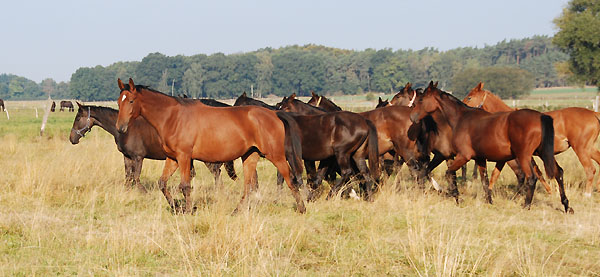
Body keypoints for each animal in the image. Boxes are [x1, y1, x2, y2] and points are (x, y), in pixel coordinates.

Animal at [69, 102, 237, 191]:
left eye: (77, 118)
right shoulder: (127, 157)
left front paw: (142, 192)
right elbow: (128, 176)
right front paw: (127, 191)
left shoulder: (138, 157)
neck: (126, 129)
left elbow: (136, 176)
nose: (72, 139)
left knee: (216, 172)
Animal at [115, 78, 308, 212]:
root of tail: (275, 114)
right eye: (118, 102)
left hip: (276, 156)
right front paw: (176, 207)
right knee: (248, 186)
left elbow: (185, 185)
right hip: (250, 156)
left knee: (290, 179)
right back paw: (236, 211)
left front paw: (188, 210)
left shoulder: (184, 157)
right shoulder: (173, 158)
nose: (120, 127)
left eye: (131, 101)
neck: (173, 117)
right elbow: (162, 183)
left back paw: (302, 208)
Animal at [408, 81, 572, 212]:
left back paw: (526, 205)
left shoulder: (463, 156)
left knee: (531, 177)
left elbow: (449, 174)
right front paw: (489, 201)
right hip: (543, 153)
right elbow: (485, 180)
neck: (461, 119)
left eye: (421, 99)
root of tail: (540, 116)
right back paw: (566, 206)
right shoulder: (480, 159)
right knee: (558, 173)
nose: (412, 117)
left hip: (524, 156)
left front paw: (455, 196)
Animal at [466, 81, 600, 194]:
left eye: (469, 97)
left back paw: (587, 194)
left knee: (590, 169)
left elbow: (536, 172)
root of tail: (594, 113)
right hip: (589, 149)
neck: (506, 120)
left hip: (581, 149)